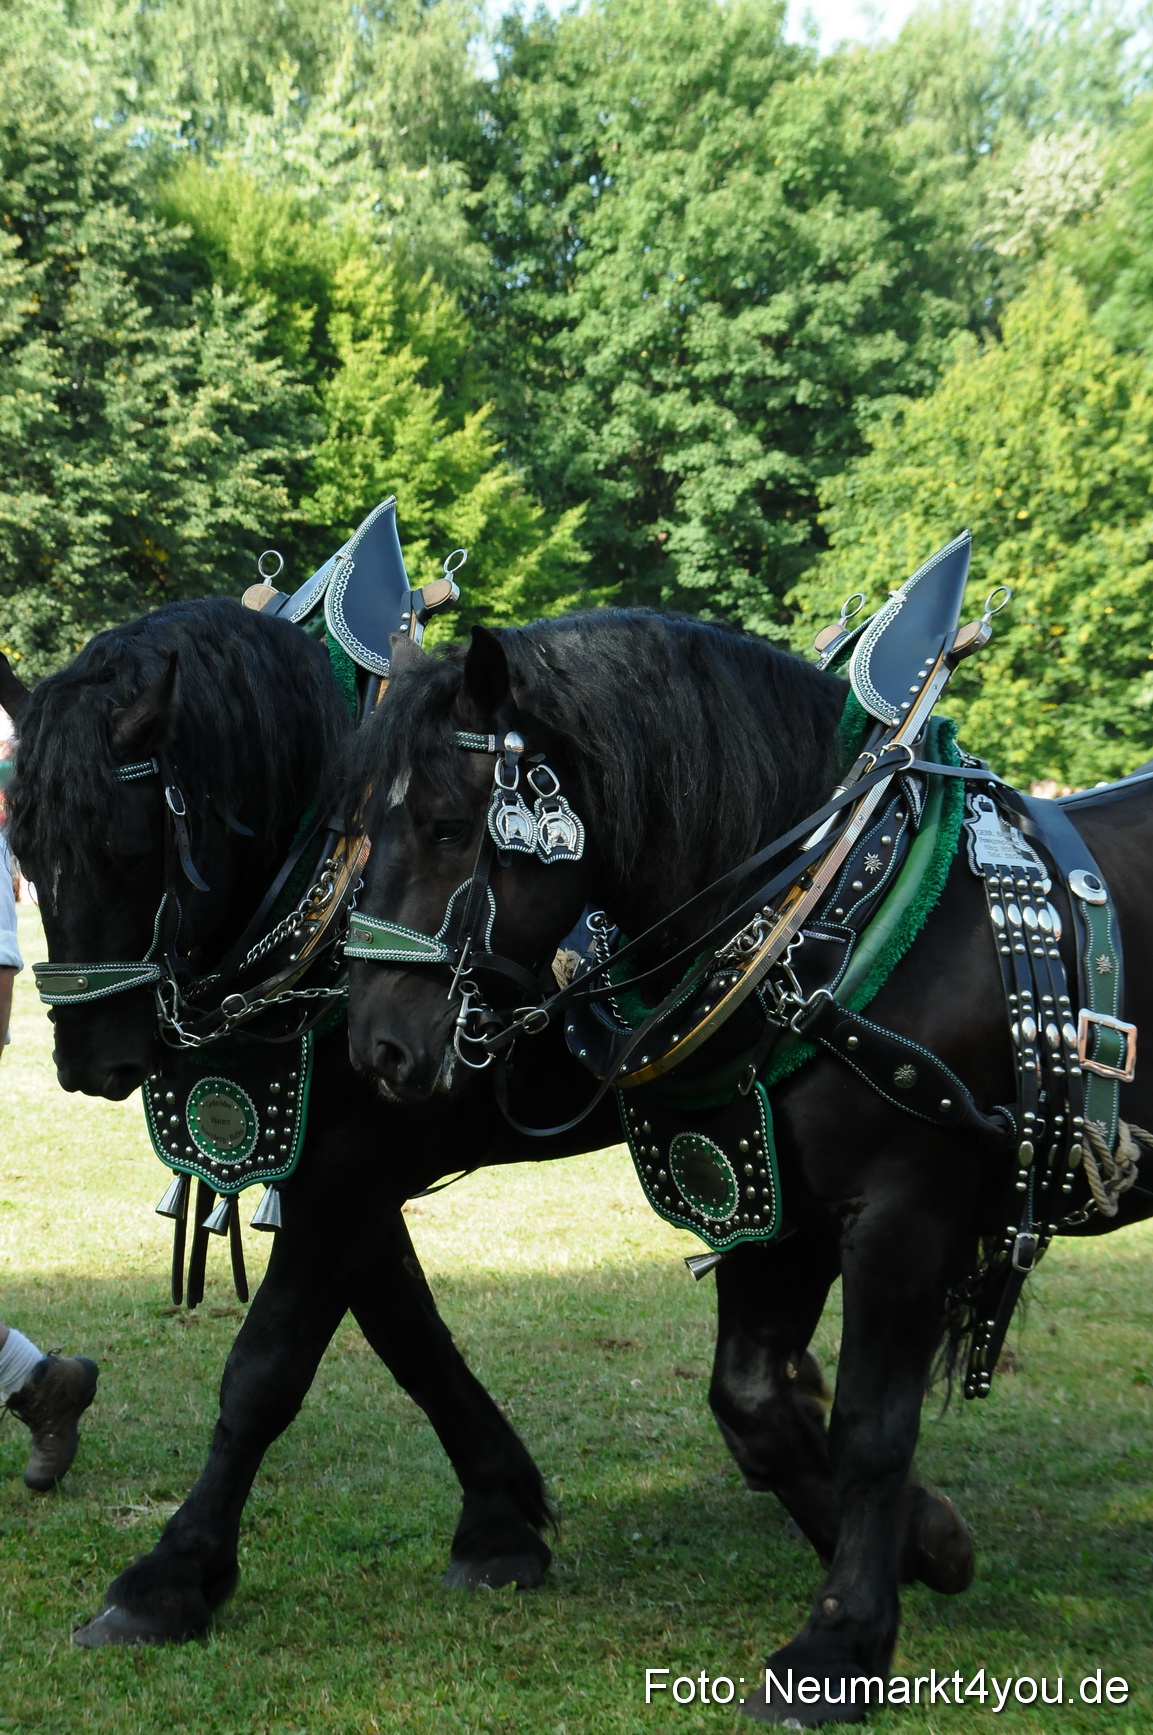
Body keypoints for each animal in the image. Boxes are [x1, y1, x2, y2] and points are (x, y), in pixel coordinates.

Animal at [1, 598, 624, 1645]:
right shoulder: (331, 1171)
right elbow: (412, 1340)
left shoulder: (350, 1175)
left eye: (124, 849)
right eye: (24, 849)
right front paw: (500, 1516)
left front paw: (171, 1576)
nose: (87, 1063)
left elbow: (266, 1368)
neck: (327, 903)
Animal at [342, 607, 1152, 1725]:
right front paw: (928, 1542)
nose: (375, 1046)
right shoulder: (773, 1202)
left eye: (452, 828)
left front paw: (841, 1641)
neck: (830, 914)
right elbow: (751, 1404)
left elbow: (869, 1426)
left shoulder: (906, 1216)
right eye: (364, 831)